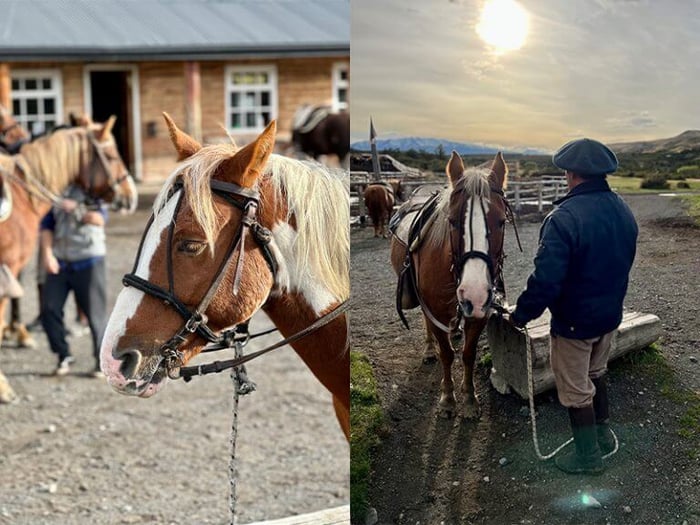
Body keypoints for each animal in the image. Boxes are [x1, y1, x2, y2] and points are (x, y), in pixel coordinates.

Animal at [390, 151, 508, 418]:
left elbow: (468, 354)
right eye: (452, 221)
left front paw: (470, 399)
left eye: (502, 222)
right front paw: (447, 399)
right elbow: (447, 354)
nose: (474, 295)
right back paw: (429, 350)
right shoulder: (435, 311)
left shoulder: (480, 314)